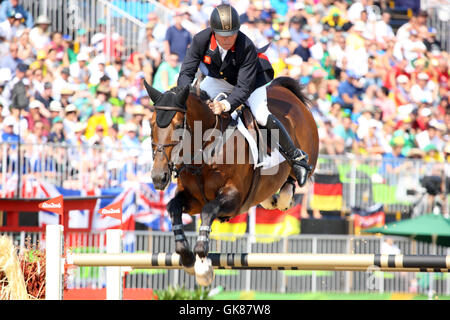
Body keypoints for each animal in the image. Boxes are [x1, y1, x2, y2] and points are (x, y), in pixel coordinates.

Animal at [142, 77, 318, 284]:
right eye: (151, 125)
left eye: (178, 126)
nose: (158, 177)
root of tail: (284, 89)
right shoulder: (192, 200)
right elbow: (174, 208)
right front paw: (187, 258)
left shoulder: (234, 198)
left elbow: (208, 210)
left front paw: (203, 266)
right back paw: (271, 199)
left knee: (292, 176)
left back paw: (291, 184)